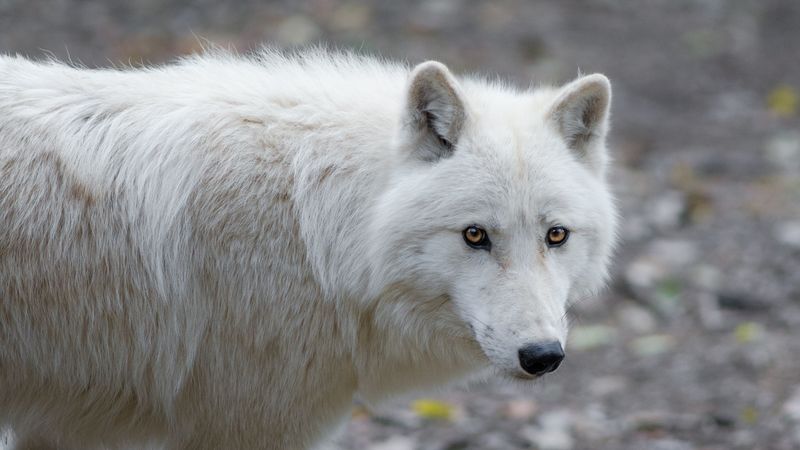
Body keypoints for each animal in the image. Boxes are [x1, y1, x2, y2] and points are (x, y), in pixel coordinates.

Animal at [0, 49, 617, 449]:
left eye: (556, 235)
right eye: (474, 236)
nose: (542, 355)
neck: (316, 232)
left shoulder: (60, 424)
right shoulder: (247, 429)